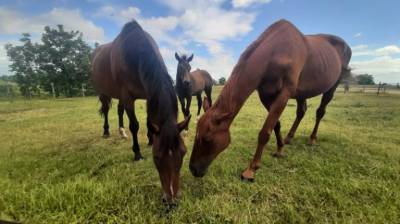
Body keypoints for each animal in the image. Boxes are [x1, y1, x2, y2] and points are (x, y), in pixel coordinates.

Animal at [91, 20, 190, 201]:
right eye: (156, 157)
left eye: (183, 152)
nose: (171, 198)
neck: (134, 54)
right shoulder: (128, 96)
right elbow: (135, 125)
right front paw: (137, 153)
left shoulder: (147, 93)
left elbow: (149, 120)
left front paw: (150, 139)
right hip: (104, 92)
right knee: (107, 110)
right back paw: (107, 131)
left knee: (119, 110)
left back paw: (122, 132)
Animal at [189, 18, 352, 181]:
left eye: (207, 139)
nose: (193, 169)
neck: (276, 53)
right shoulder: (266, 95)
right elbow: (276, 125)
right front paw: (280, 149)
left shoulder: (284, 94)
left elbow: (265, 132)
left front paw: (251, 169)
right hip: (302, 93)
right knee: (301, 111)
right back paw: (289, 138)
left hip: (332, 87)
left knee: (320, 112)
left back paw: (312, 138)